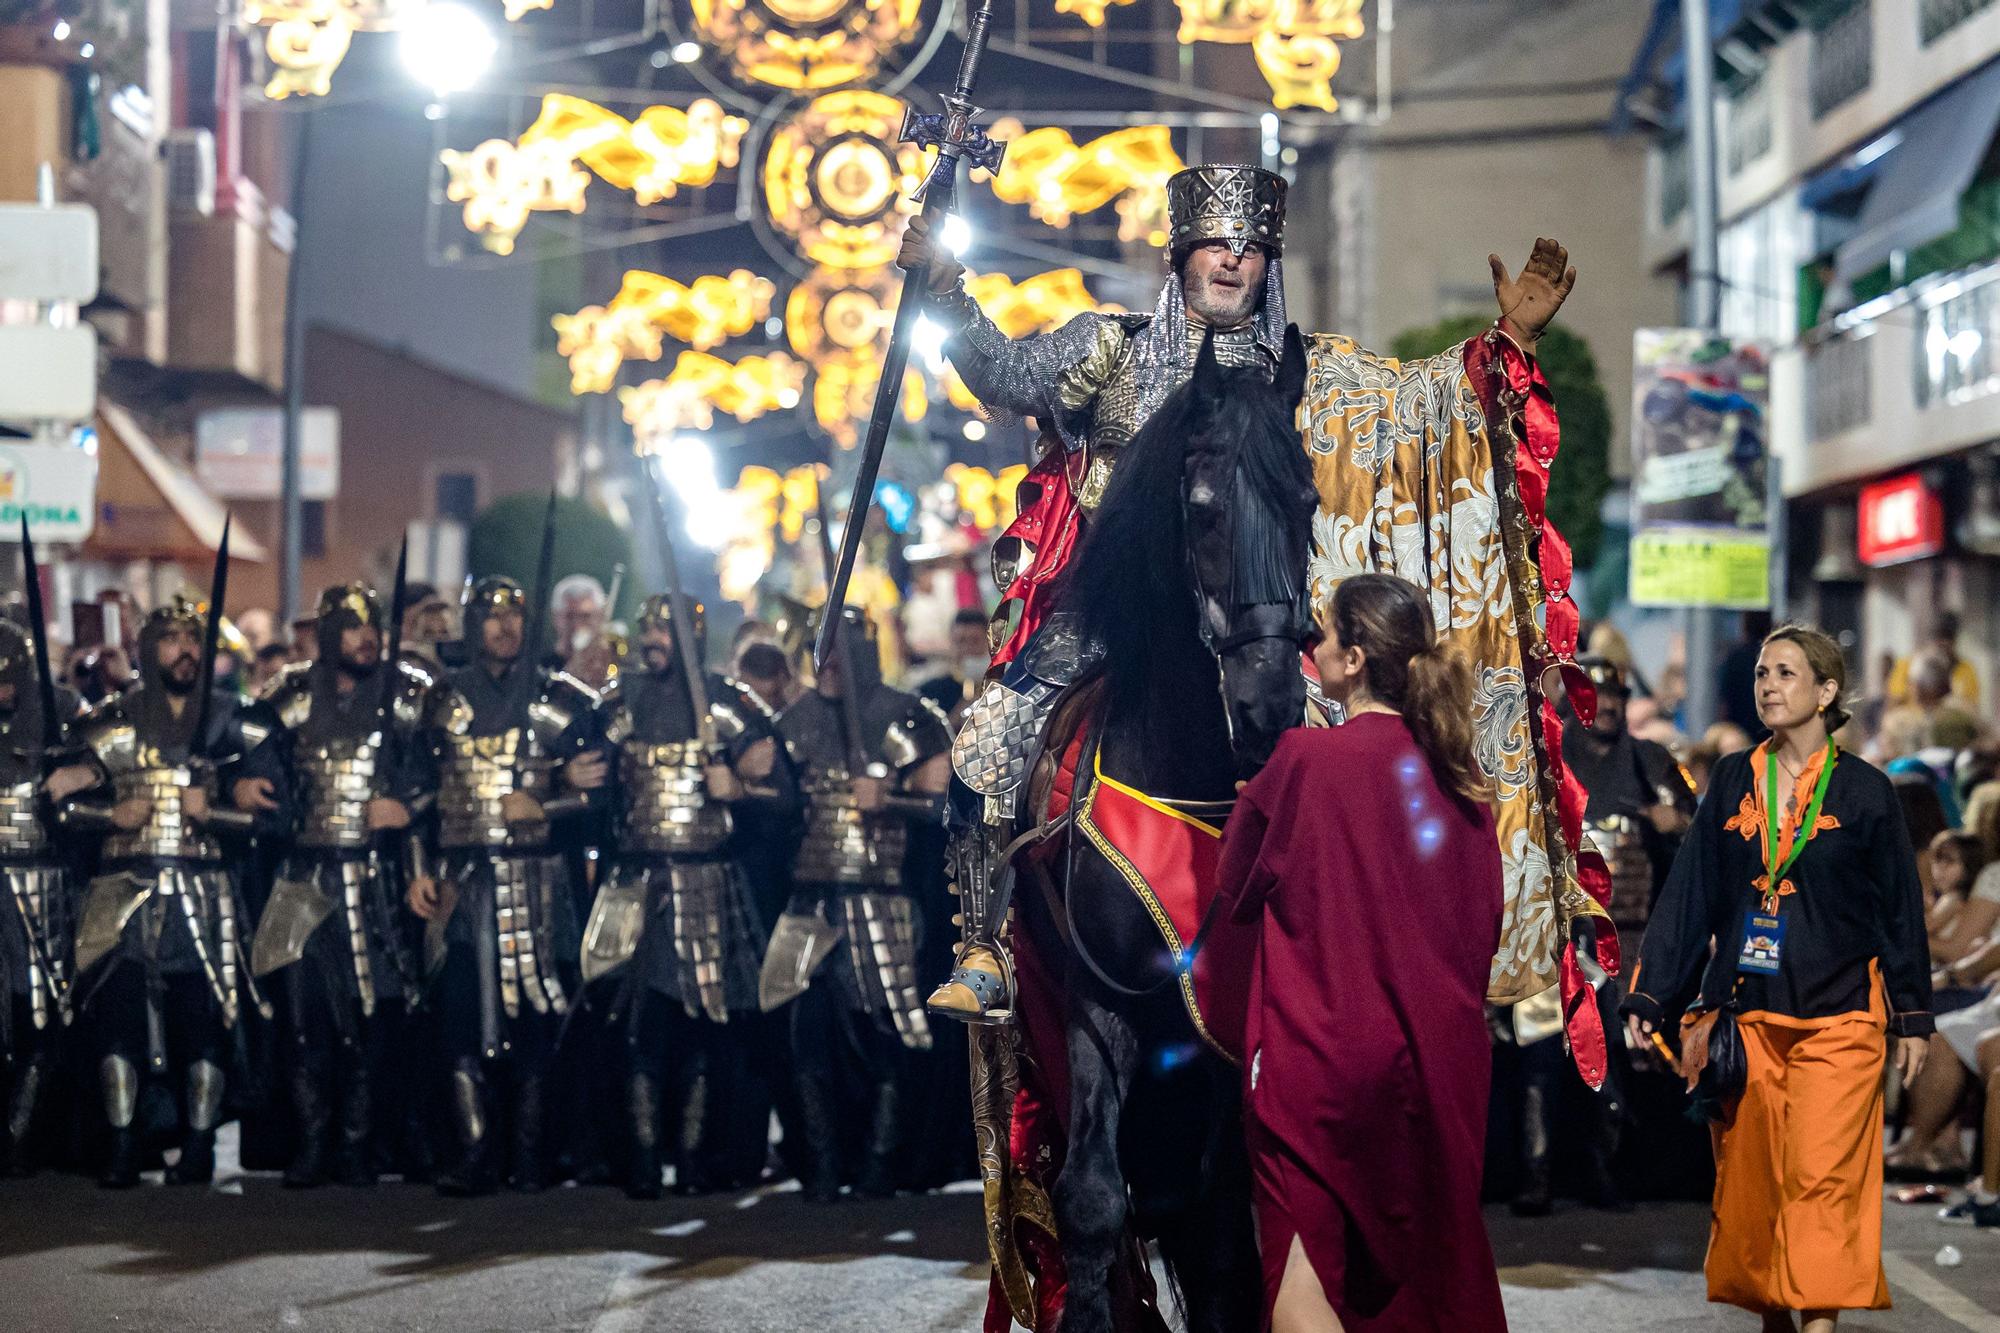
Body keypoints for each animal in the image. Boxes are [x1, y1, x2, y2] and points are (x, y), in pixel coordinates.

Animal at [1024, 324, 1320, 1328]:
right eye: (1202, 510)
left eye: (1308, 503)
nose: (1266, 706)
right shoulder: (1099, 998)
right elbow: (1089, 1201)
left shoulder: (1224, 1028)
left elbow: (1223, 1228)